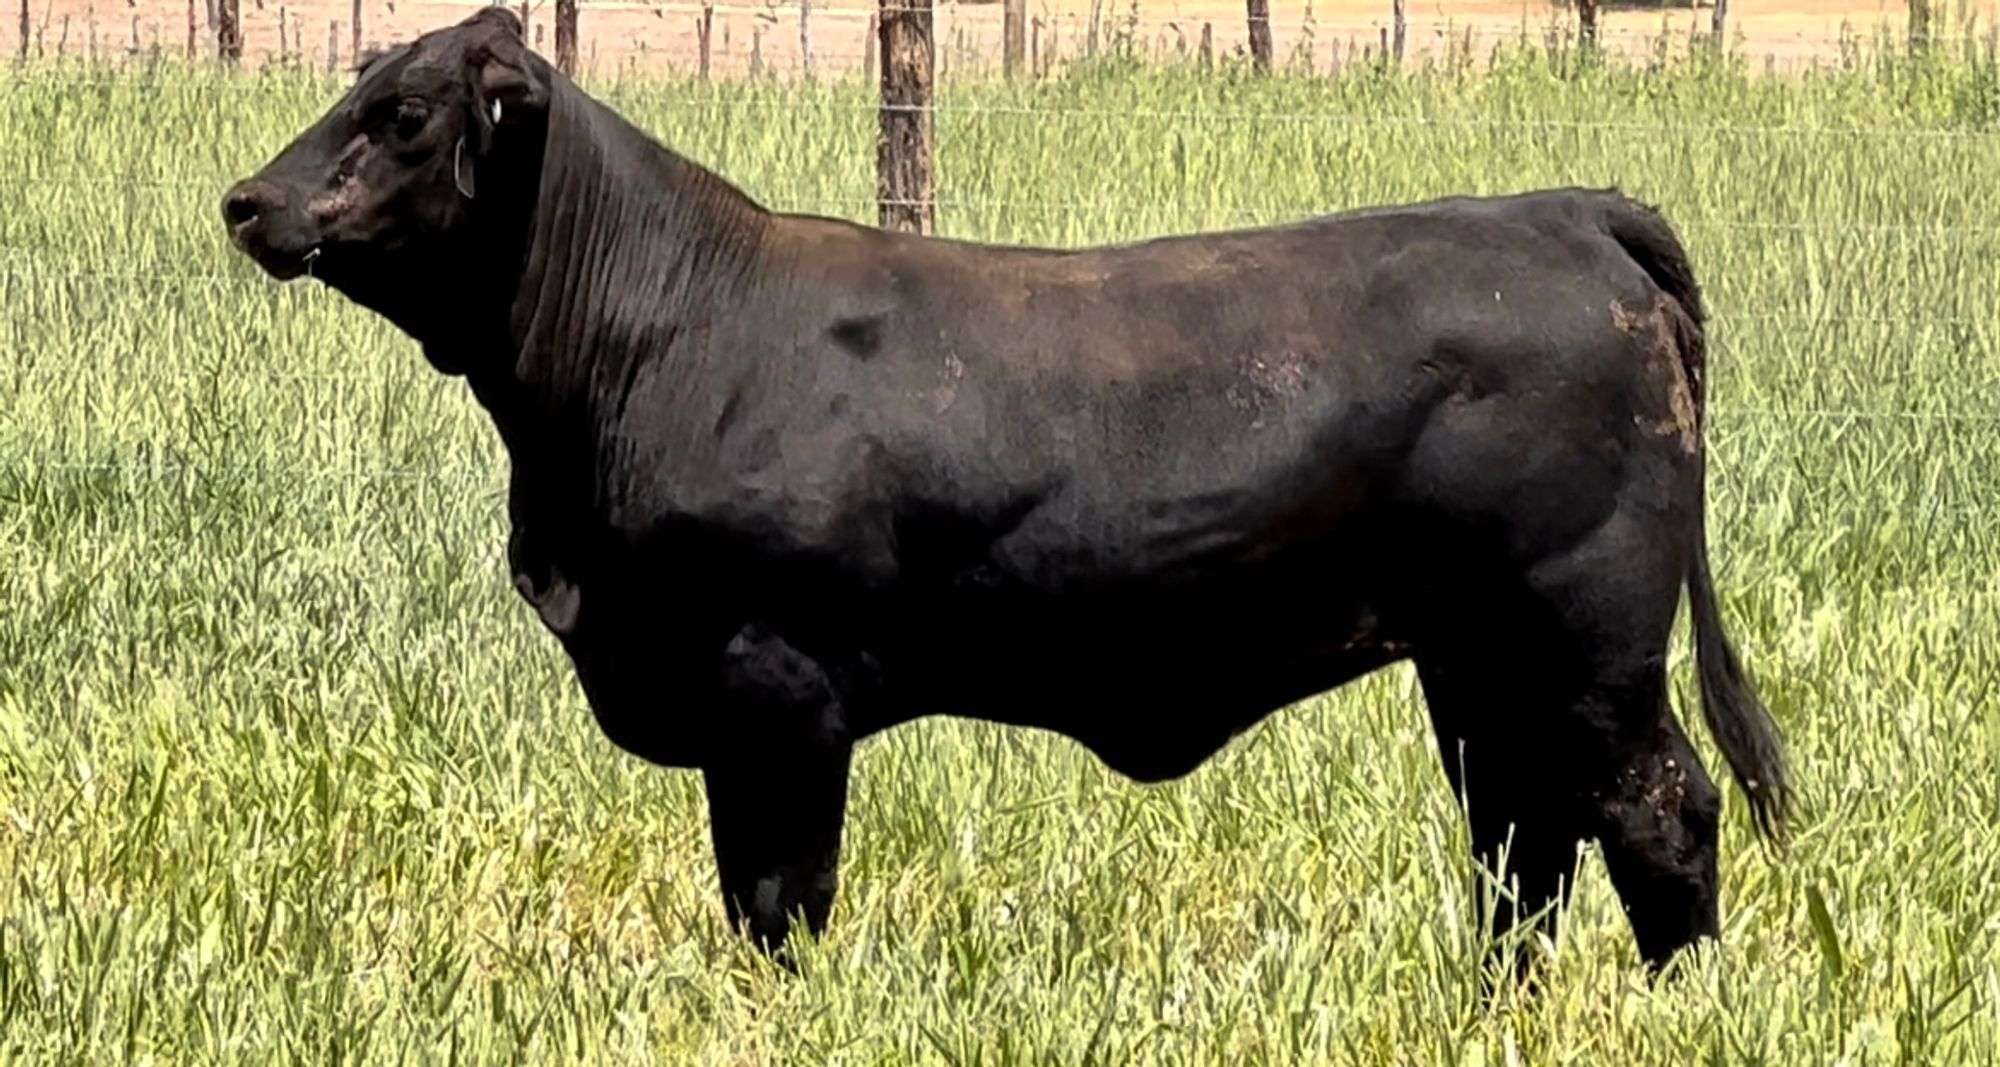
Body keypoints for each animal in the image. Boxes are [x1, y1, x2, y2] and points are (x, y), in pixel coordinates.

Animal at [221, 9, 1789, 979]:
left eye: (401, 111)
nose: (247, 201)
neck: (661, 336)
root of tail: (1561, 210)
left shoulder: (776, 691)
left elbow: (778, 900)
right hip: (1479, 661)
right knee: (1524, 844)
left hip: (1583, 639)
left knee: (1655, 812)